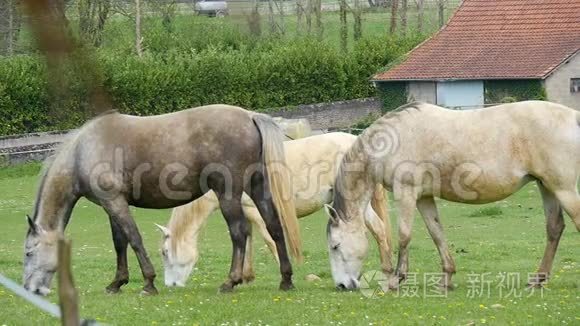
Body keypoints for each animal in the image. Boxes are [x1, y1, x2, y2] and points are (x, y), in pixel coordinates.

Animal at [22, 104, 302, 296]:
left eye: (28, 252)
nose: (28, 288)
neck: (83, 150)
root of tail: (249, 116)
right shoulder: (112, 205)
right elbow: (119, 242)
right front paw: (117, 282)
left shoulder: (115, 203)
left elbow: (134, 239)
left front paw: (148, 282)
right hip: (257, 187)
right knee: (274, 226)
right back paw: (286, 279)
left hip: (228, 194)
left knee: (239, 232)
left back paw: (231, 281)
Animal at [156, 132, 392, 286]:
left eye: (165, 253)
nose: (170, 285)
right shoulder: (246, 213)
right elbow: (247, 240)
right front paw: (246, 276)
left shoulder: (256, 212)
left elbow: (270, 240)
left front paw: (287, 277)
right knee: (379, 230)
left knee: (378, 230)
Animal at [326, 100, 580, 290]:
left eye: (335, 246)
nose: (341, 285)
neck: (392, 140)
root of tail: (573, 116)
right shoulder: (424, 198)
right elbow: (437, 233)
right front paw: (446, 279)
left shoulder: (406, 193)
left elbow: (404, 236)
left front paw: (396, 280)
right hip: (547, 187)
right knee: (554, 228)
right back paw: (537, 280)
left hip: (563, 189)